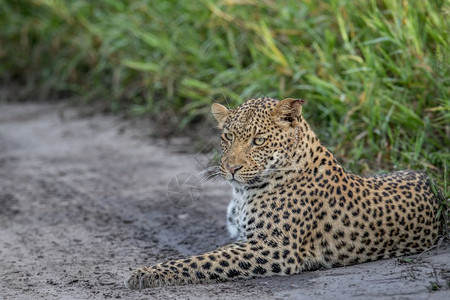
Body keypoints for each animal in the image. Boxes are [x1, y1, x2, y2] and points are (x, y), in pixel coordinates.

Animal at [125, 97, 442, 290]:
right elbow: (210, 254)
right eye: (227, 137)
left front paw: (145, 273)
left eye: (258, 141)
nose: (231, 168)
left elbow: (203, 260)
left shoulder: (273, 247)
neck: (242, 193)